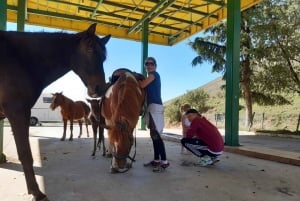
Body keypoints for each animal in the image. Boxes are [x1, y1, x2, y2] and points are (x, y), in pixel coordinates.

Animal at [0, 24, 110, 201]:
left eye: (104, 57)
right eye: (90, 49)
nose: (100, 88)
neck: (20, 59)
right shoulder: (18, 112)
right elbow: (25, 154)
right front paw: (37, 193)